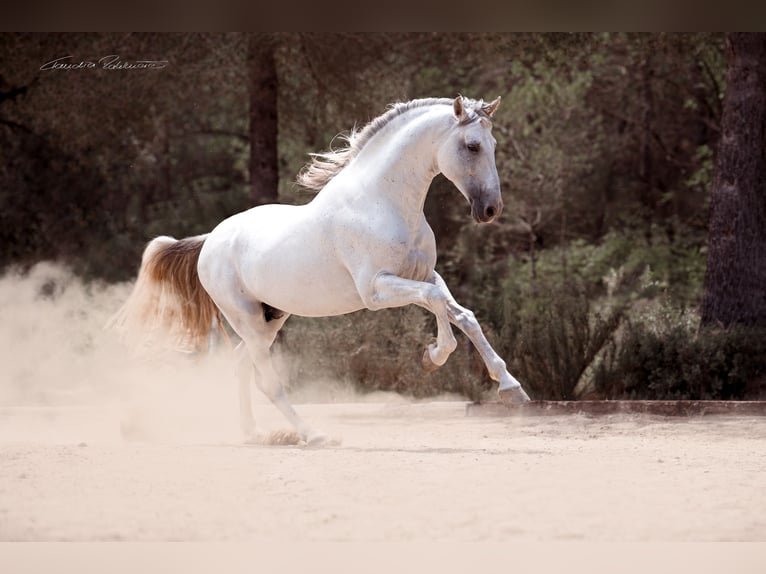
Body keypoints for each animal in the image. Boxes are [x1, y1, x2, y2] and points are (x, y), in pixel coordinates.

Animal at [115, 97, 536, 446]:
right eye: (472, 146)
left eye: (493, 146)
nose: (491, 210)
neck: (381, 202)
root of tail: (210, 241)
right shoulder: (377, 290)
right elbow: (437, 309)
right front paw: (432, 357)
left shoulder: (425, 275)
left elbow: (465, 316)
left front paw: (512, 388)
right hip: (246, 319)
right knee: (268, 381)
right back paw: (313, 435)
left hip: (270, 320)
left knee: (240, 367)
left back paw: (255, 434)